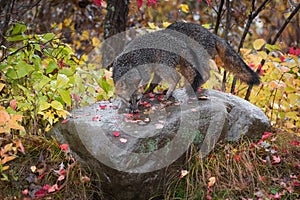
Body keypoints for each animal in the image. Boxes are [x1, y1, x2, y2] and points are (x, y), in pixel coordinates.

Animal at [112, 22, 260, 112]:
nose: (134, 111)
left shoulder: (151, 70)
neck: (129, 63)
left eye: (136, 100)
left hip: (179, 65)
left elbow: (151, 83)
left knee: (194, 76)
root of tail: (213, 35)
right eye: (129, 100)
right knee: (203, 76)